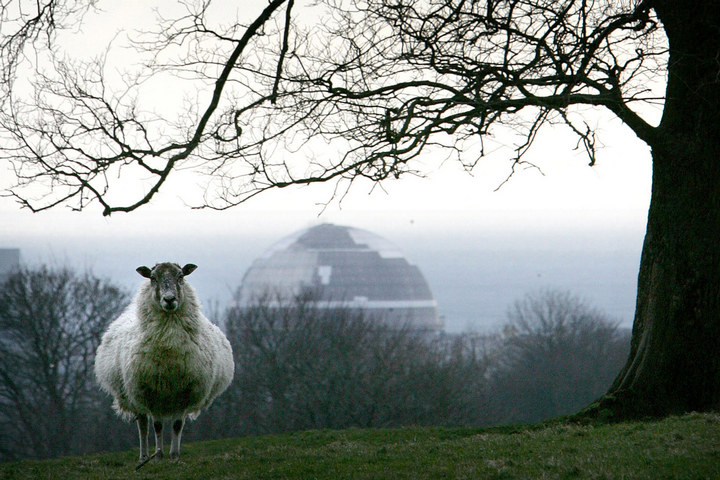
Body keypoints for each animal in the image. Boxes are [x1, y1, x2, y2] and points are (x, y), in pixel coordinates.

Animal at [94, 260, 232, 466]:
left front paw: (174, 456)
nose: (169, 299)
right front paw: (158, 456)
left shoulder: (184, 392)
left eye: (181, 276)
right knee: (143, 426)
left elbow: (177, 425)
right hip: (134, 395)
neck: (170, 348)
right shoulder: (152, 393)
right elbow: (157, 426)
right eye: (153, 278)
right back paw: (144, 456)